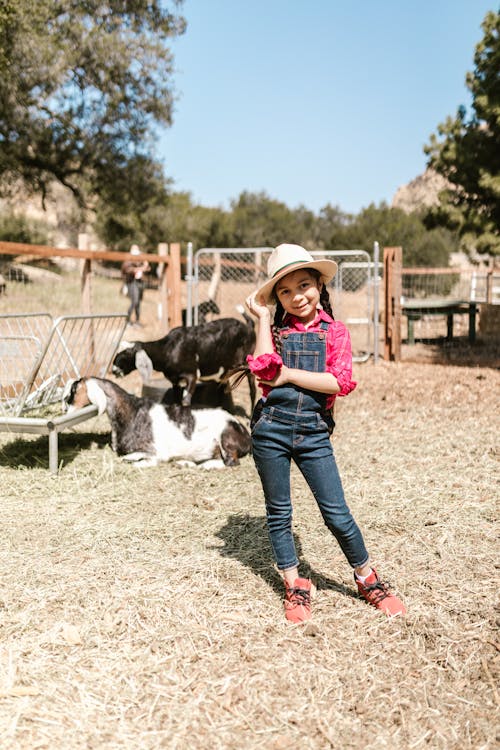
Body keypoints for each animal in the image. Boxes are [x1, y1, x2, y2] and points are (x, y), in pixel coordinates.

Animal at [62, 382, 250, 470]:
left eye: (72, 392)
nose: (64, 410)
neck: (132, 410)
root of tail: (245, 433)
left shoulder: (158, 452)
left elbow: (148, 460)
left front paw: (138, 463)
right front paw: (130, 458)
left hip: (225, 439)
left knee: (231, 462)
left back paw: (206, 466)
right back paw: (185, 463)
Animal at [112, 316, 256, 414]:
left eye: (125, 355)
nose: (114, 370)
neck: (169, 349)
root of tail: (248, 326)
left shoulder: (192, 374)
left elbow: (186, 401)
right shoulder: (175, 380)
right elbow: (176, 401)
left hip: (247, 361)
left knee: (252, 389)